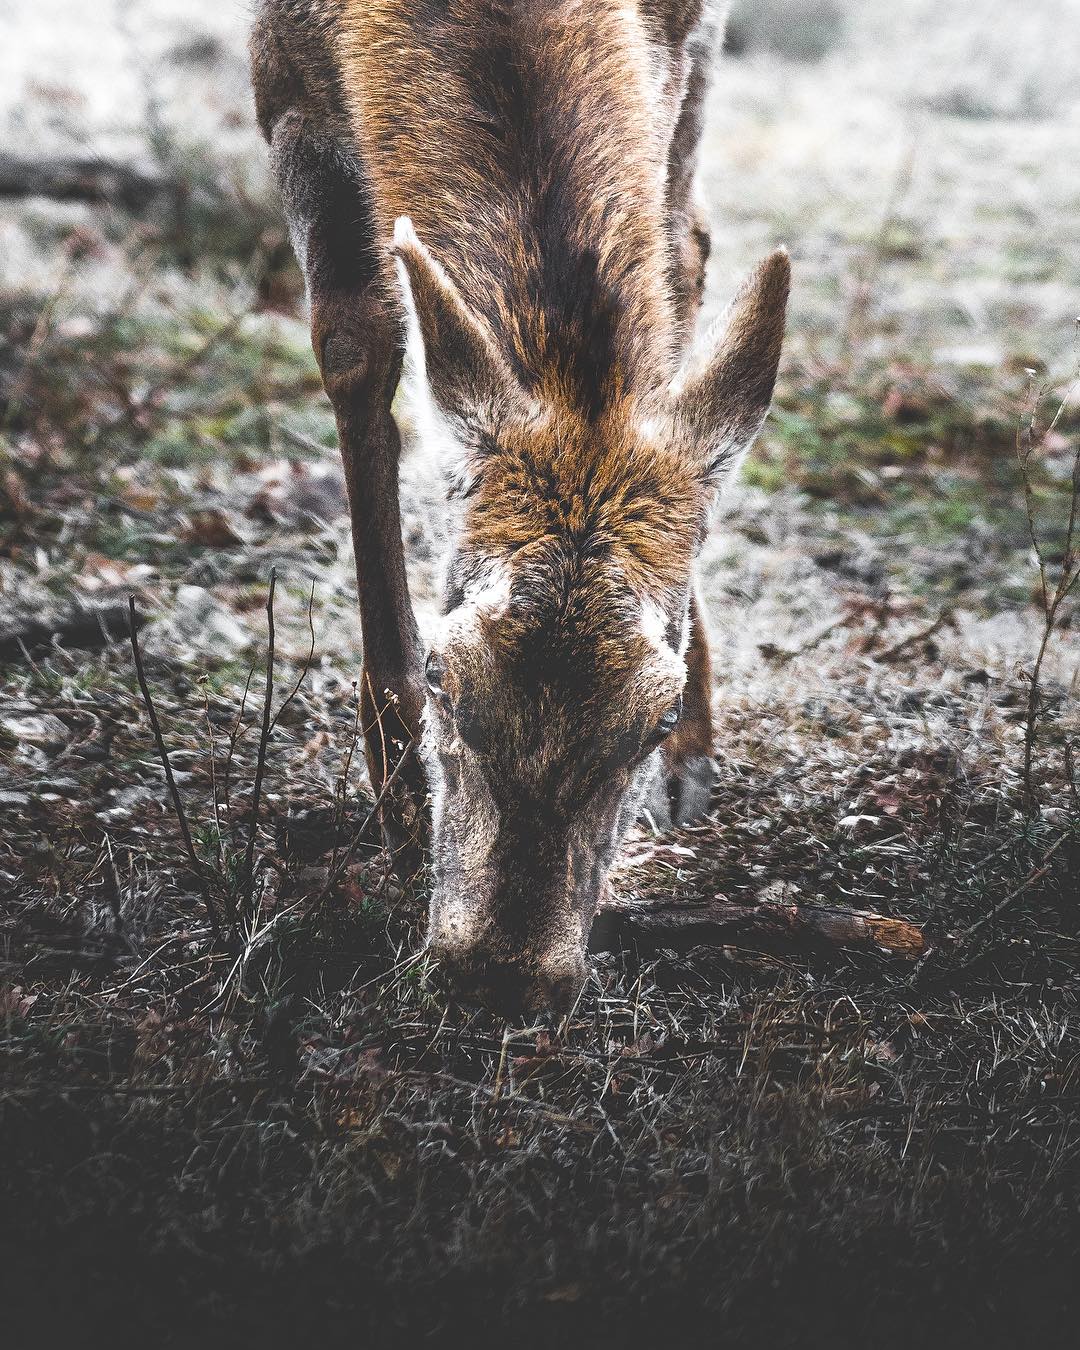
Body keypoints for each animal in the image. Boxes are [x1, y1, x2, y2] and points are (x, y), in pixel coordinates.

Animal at [253, 0, 793, 1015]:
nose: (502, 972)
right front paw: (397, 804)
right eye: (443, 677)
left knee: (686, 249)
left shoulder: (680, 42)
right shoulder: (286, 90)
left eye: (653, 716)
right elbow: (356, 342)